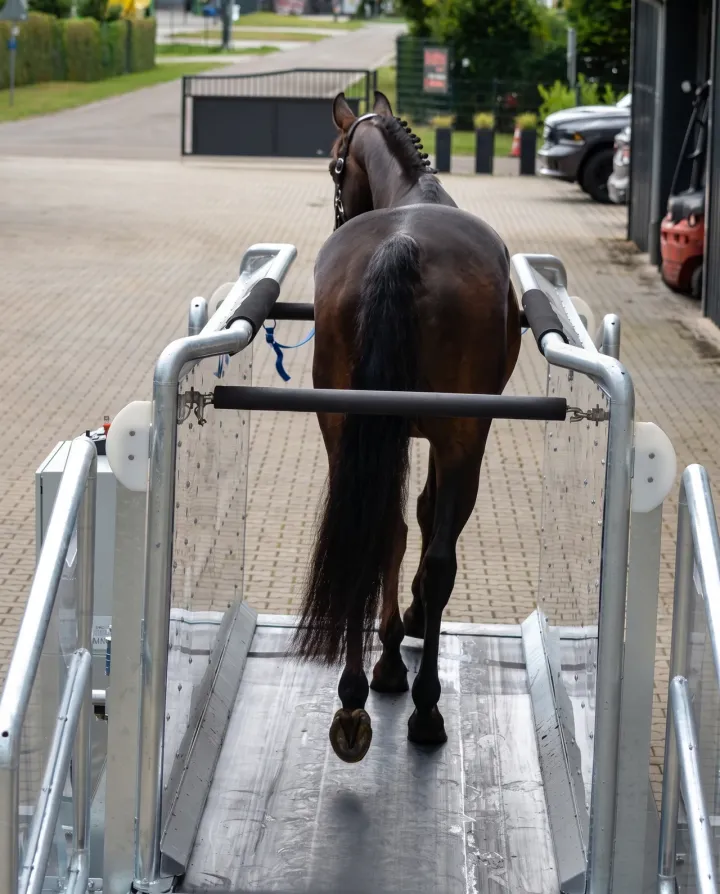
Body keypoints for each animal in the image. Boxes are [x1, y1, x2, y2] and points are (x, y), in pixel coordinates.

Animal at [292, 90, 522, 763]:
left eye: (333, 167)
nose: (337, 213)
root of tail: (403, 246)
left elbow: (398, 526)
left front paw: (390, 647)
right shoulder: (451, 441)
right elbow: (427, 518)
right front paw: (411, 629)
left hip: (342, 427)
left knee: (373, 531)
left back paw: (353, 696)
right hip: (464, 435)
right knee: (439, 553)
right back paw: (423, 704)